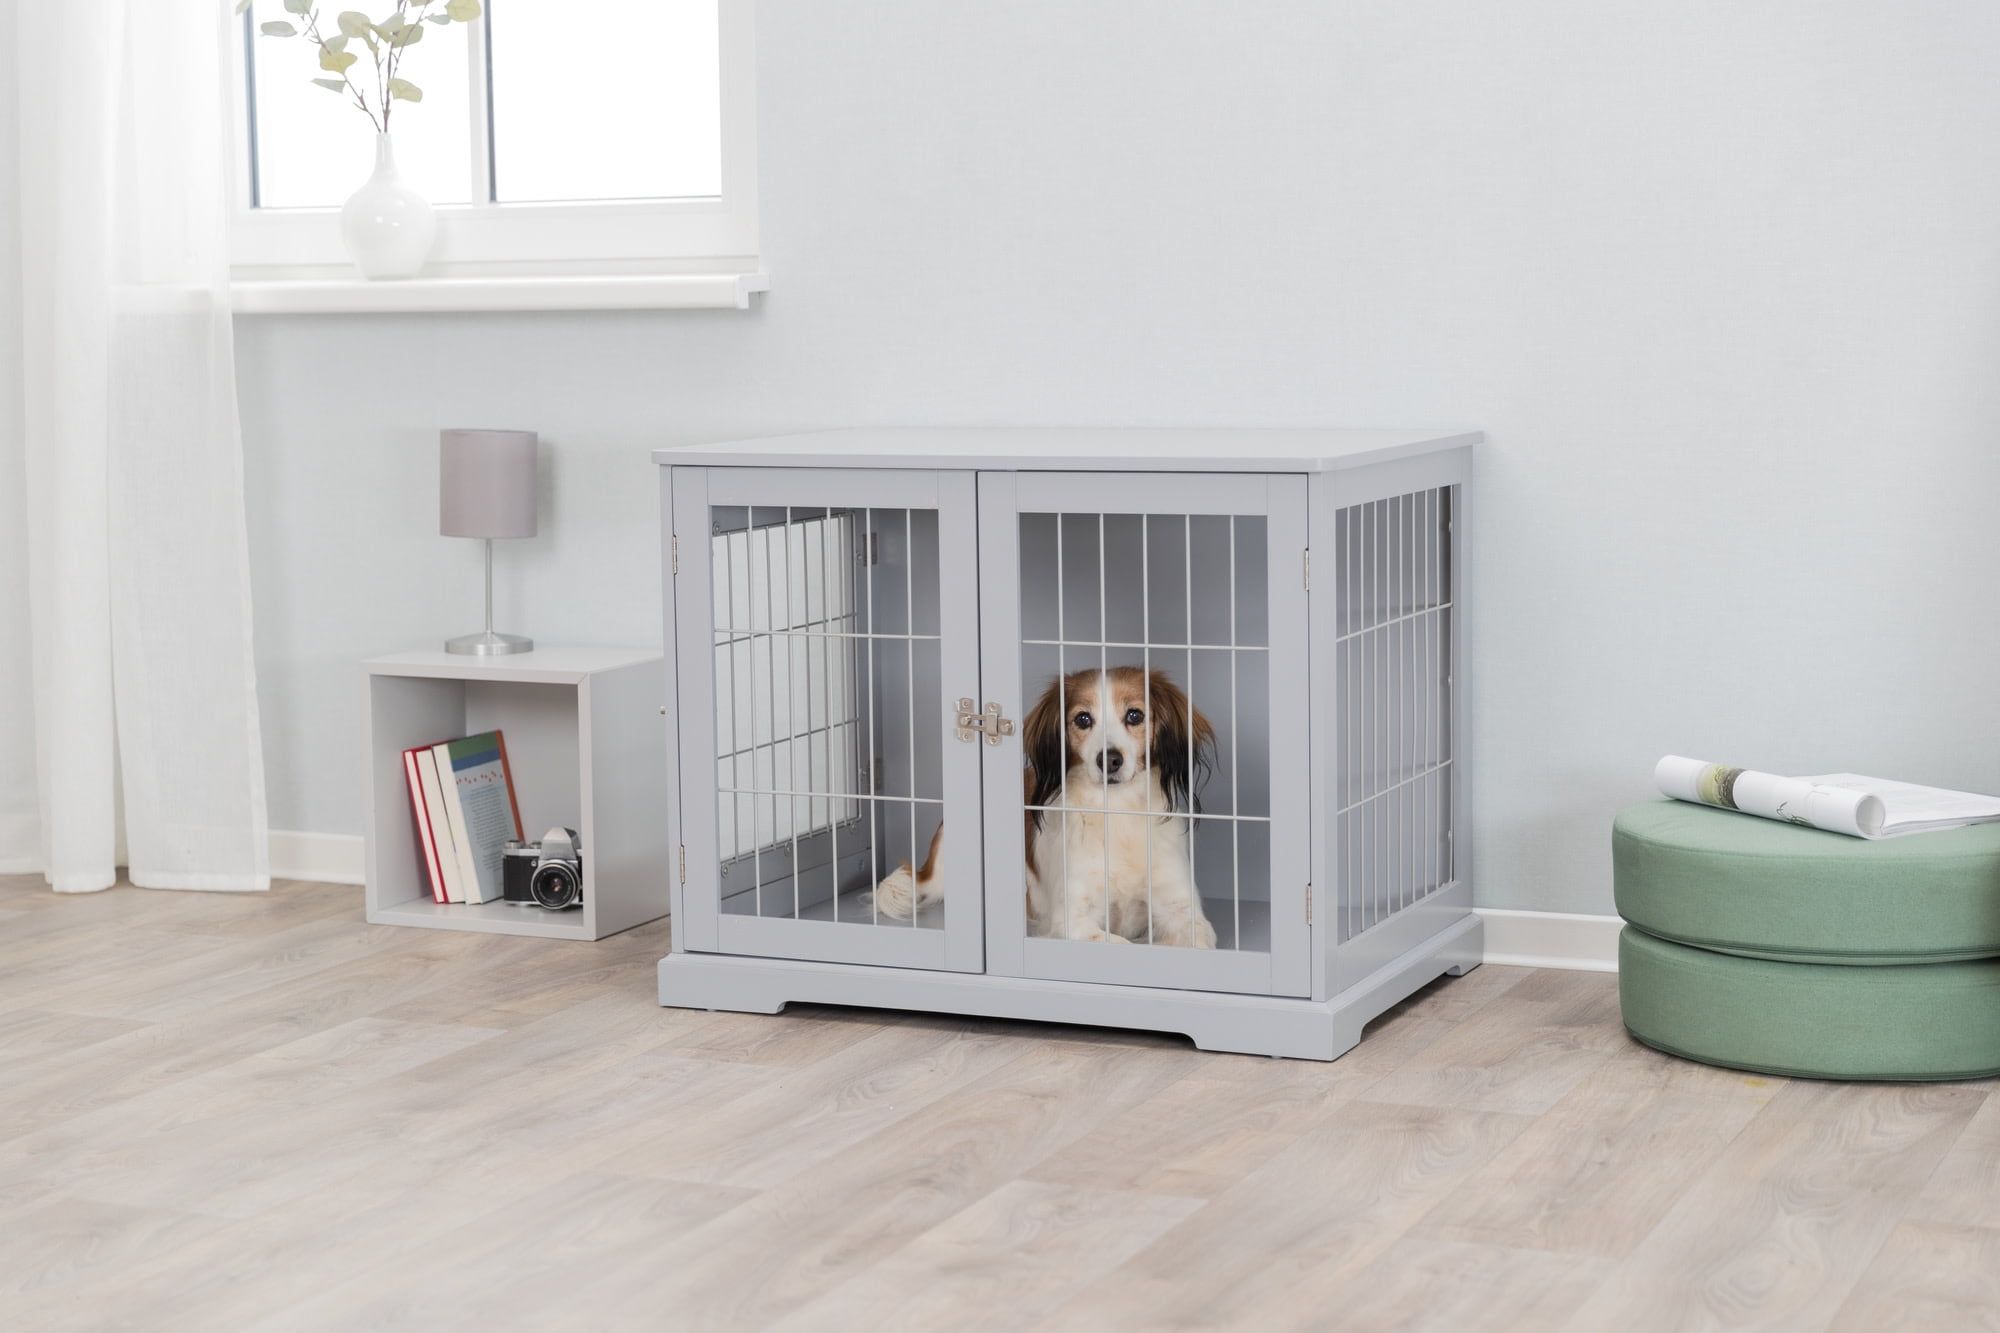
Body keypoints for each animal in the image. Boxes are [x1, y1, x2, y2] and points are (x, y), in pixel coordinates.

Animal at [876, 664, 1216, 944]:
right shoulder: (1073, 921)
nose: (1109, 759)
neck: (1118, 812)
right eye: (1083, 719)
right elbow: (1118, 943)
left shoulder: (1185, 913)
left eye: (1135, 715)